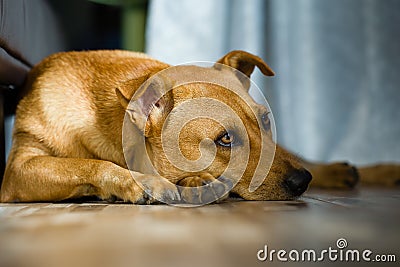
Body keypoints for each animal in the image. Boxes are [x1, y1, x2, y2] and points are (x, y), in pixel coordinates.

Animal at [0, 50, 400, 205]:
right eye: (224, 139)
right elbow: (87, 164)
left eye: (266, 121)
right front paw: (142, 182)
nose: (302, 182)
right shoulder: (20, 168)